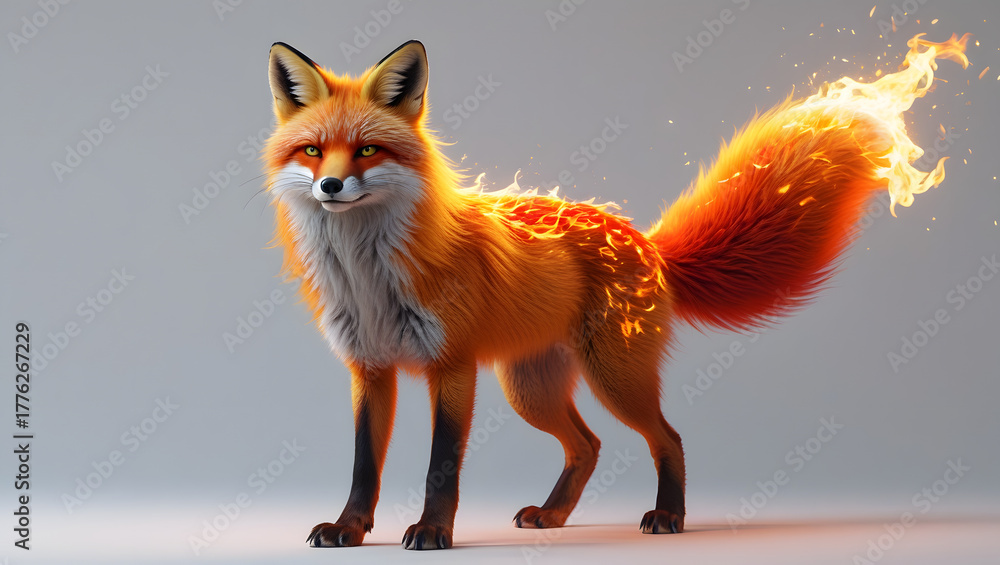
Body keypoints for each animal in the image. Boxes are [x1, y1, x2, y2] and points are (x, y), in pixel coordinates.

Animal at [262, 37, 967, 549]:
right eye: (313, 151)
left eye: (367, 151)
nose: (330, 188)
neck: (369, 277)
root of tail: (645, 242)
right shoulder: (370, 369)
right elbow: (363, 465)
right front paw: (349, 530)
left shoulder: (453, 367)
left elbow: (441, 467)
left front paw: (434, 531)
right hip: (531, 389)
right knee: (589, 445)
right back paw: (553, 516)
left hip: (613, 377)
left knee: (667, 437)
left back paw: (668, 517)